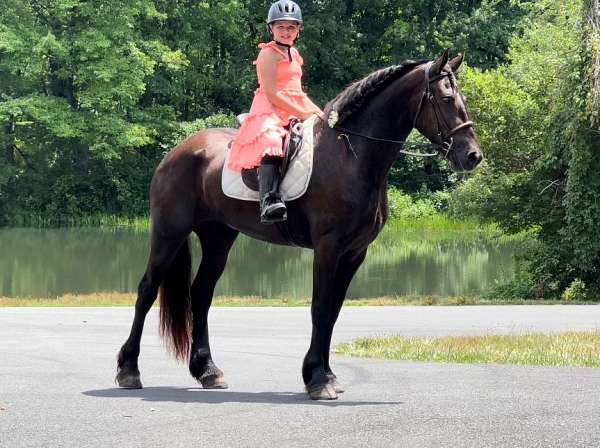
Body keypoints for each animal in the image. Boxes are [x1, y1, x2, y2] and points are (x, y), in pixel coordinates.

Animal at [116, 50, 482, 400]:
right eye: (446, 99)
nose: (473, 156)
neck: (351, 156)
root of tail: (177, 151)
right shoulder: (328, 247)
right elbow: (320, 308)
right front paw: (318, 380)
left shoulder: (355, 253)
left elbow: (333, 311)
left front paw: (325, 375)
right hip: (169, 232)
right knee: (147, 289)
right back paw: (128, 370)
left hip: (218, 236)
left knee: (201, 293)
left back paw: (208, 371)